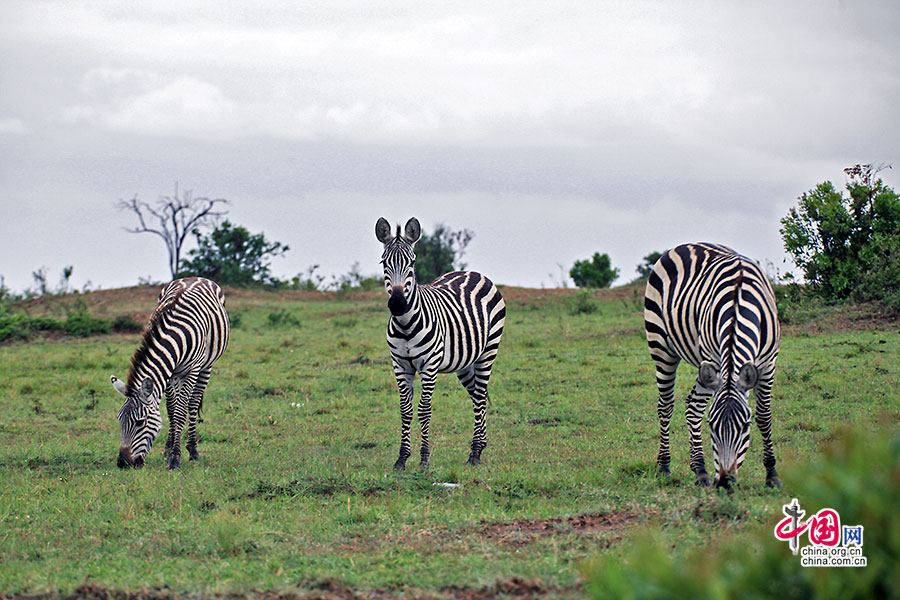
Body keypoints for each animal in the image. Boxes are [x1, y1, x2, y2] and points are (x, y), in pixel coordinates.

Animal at [111, 276, 229, 468]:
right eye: (120, 420)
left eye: (140, 422)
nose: (123, 463)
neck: (175, 338)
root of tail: (196, 277)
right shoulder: (169, 374)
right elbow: (172, 410)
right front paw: (169, 450)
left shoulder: (192, 370)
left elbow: (181, 412)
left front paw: (175, 458)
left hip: (206, 366)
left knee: (193, 404)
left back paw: (193, 450)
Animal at [374, 218, 506, 472]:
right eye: (384, 262)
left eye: (412, 262)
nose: (397, 304)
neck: (406, 324)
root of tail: (472, 272)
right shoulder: (400, 365)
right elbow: (405, 410)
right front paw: (402, 459)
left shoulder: (429, 365)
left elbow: (424, 410)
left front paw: (424, 459)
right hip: (465, 363)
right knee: (477, 398)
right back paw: (480, 446)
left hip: (488, 352)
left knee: (481, 397)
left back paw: (475, 453)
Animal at [640, 243, 780, 488]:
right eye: (712, 426)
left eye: (745, 426)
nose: (724, 483)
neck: (739, 303)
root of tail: (685, 245)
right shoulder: (714, 360)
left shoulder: (768, 363)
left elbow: (764, 416)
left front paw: (772, 474)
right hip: (661, 346)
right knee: (669, 406)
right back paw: (668, 466)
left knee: (691, 406)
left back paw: (700, 470)